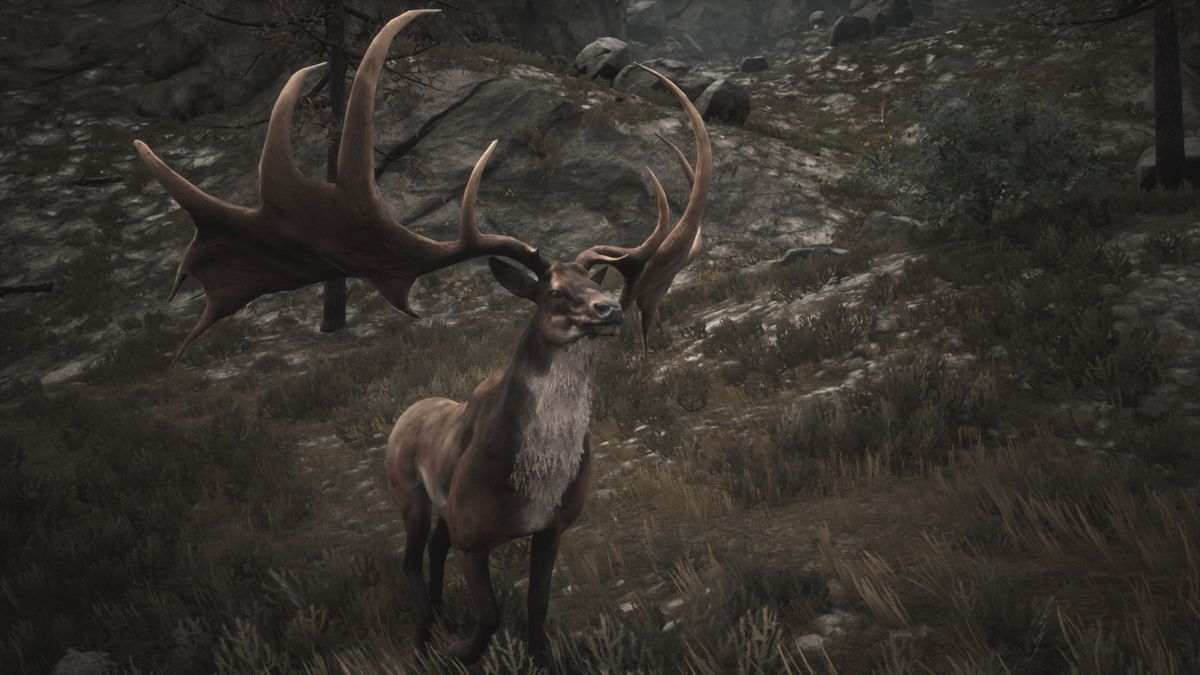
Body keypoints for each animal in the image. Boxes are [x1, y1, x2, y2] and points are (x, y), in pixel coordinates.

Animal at [132, 10, 711, 666]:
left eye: (594, 280)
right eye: (553, 294)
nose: (610, 309)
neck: (532, 483)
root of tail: (408, 413)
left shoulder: (552, 528)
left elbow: (537, 609)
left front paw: (535, 656)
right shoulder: (474, 531)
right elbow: (489, 613)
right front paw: (458, 649)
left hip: (437, 509)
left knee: (430, 552)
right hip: (408, 492)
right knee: (410, 557)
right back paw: (422, 629)